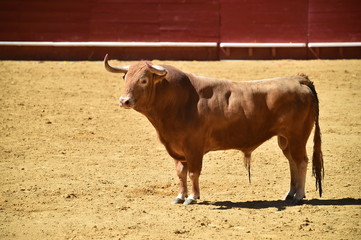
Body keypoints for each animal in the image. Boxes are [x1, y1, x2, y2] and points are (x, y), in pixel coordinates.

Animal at [104, 54, 324, 206]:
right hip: (285, 139)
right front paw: (180, 196)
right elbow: (181, 173)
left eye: (143, 80)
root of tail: (298, 80)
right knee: (292, 162)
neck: (178, 100)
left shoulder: (193, 148)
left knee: (301, 161)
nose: (124, 101)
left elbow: (193, 173)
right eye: (125, 78)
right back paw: (289, 194)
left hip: (297, 137)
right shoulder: (176, 148)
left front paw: (192, 197)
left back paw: (298, 196)